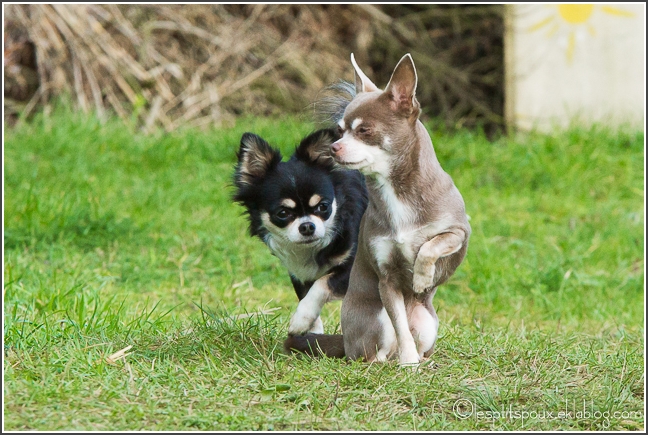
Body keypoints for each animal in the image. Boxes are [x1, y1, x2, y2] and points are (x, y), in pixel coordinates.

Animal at [233, 127, 368, 340]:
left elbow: (321, 284)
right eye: (282, 213)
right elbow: (306, 293)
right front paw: (311, 332)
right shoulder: (299, 274)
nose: (307, 226)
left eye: (323, 207)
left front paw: (300, 320)